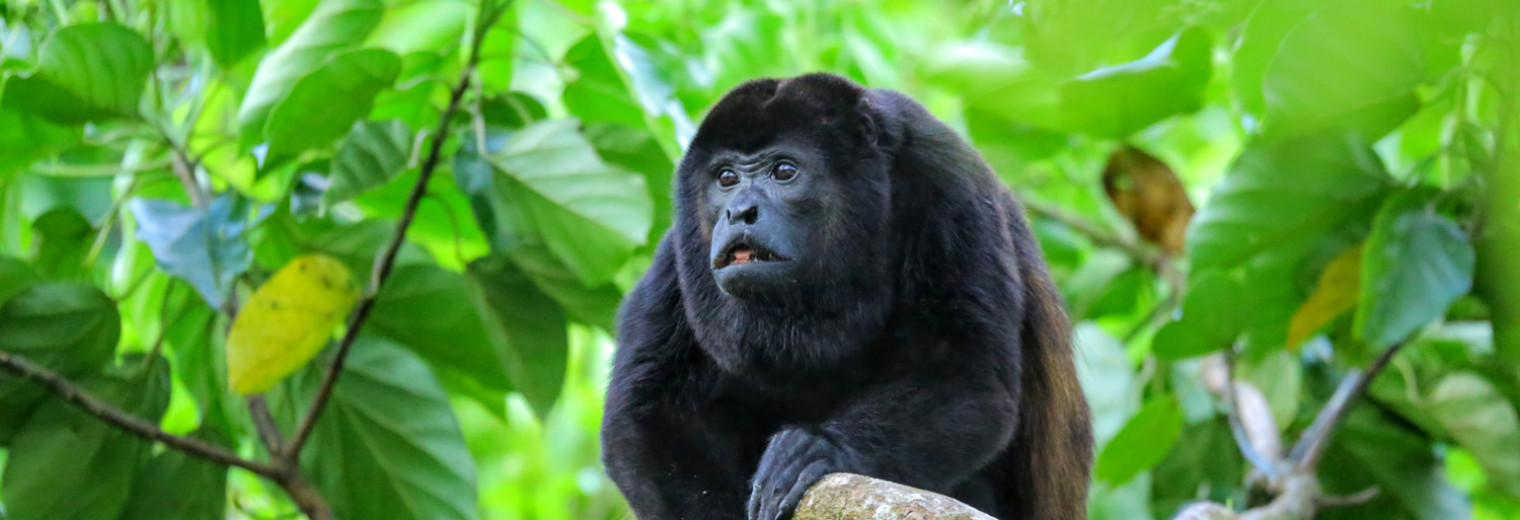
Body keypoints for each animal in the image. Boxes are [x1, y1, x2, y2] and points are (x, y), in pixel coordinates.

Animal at [598, 72, 1088, 520]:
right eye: (726, 177)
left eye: (784, 171)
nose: (738, 211)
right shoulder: (678, 255)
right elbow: (649, 408)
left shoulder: (947, 185)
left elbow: (966, 376)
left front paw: (821, 447)